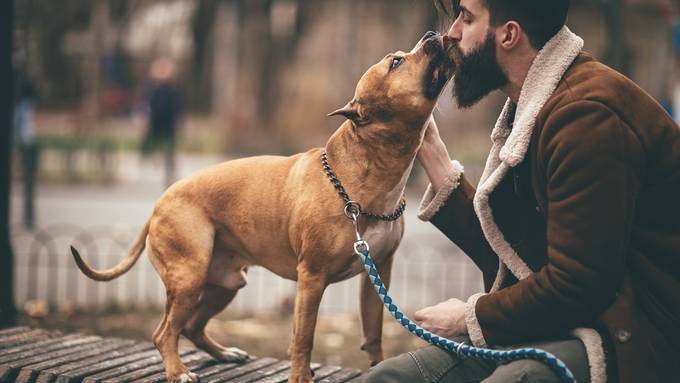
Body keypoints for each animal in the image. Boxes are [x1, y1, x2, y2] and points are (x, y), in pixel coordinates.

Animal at [71, 31, 454, 382]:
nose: (432, 34)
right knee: (165, 332)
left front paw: (376, 367)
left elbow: (373, 333)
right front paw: (300, 376)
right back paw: (178, 371)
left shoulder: (378, 274)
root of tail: (158, 204)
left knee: (191, 326)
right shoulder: (311, 279)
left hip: (224, 283)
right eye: (396, 62)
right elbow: (303, 337)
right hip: (189, 277)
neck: (369, 173)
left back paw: (224, 353)